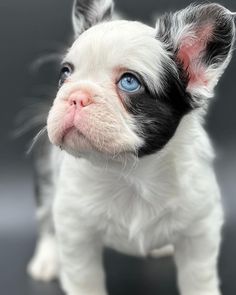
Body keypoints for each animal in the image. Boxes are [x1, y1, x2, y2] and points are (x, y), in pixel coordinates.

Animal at [28, 0, 236, 295]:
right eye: (65, 74)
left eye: (129, 82)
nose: (76, 95)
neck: (130, 172)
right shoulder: (75, 228)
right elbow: (84, 277)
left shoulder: (200, 226)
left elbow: (198, 276)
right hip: (48, 176)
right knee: (46, 216)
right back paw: (47, 259)